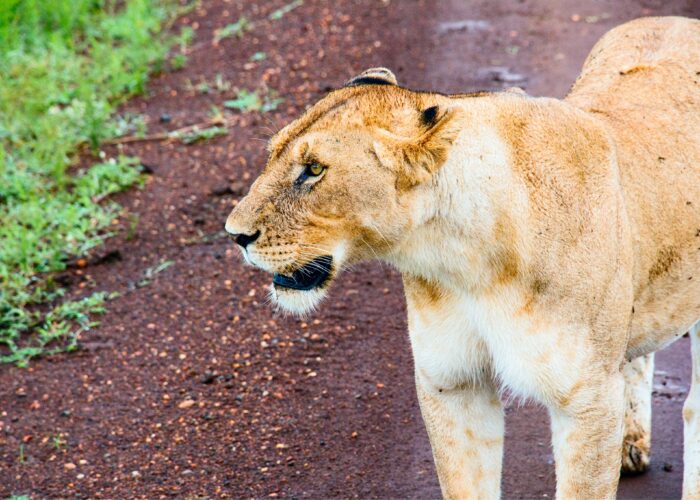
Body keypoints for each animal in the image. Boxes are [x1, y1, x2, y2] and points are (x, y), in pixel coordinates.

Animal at [225, 17, 700, 499]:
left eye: (315, 170)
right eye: (273, 154)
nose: (235, 234)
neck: (466, 262)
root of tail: (672, 18)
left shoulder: (587, 401)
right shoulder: (452, 384)